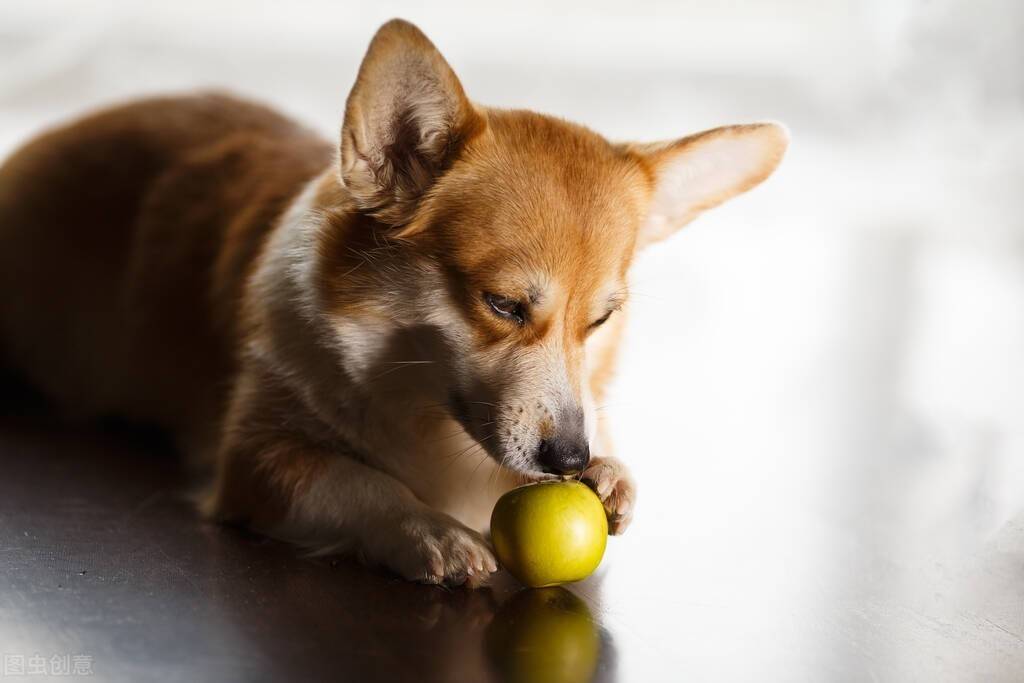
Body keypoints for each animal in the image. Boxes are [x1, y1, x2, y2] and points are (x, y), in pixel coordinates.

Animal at [0, 20, 786, 589]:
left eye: (600, 320)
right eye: (503, 304)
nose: (569, 458)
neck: (426, 413)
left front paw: (611, 473)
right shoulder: (258, 459)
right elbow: (357, 479)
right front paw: (426, 531)